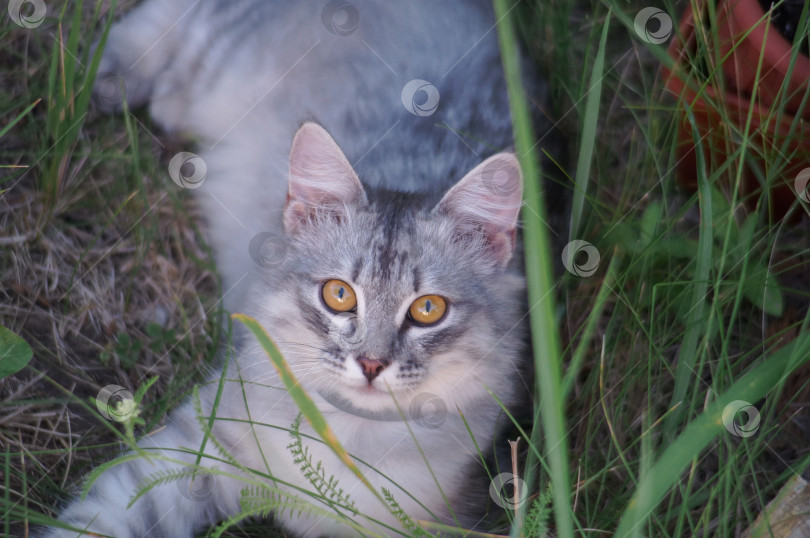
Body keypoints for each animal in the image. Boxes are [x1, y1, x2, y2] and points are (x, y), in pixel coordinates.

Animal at [39, 0, 544, 532]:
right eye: (339, 295)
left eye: (428, 309)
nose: (371, 365)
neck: (346, 446)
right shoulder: (199, 442)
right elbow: (98, 518)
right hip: (223, 52)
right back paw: (109, 80)